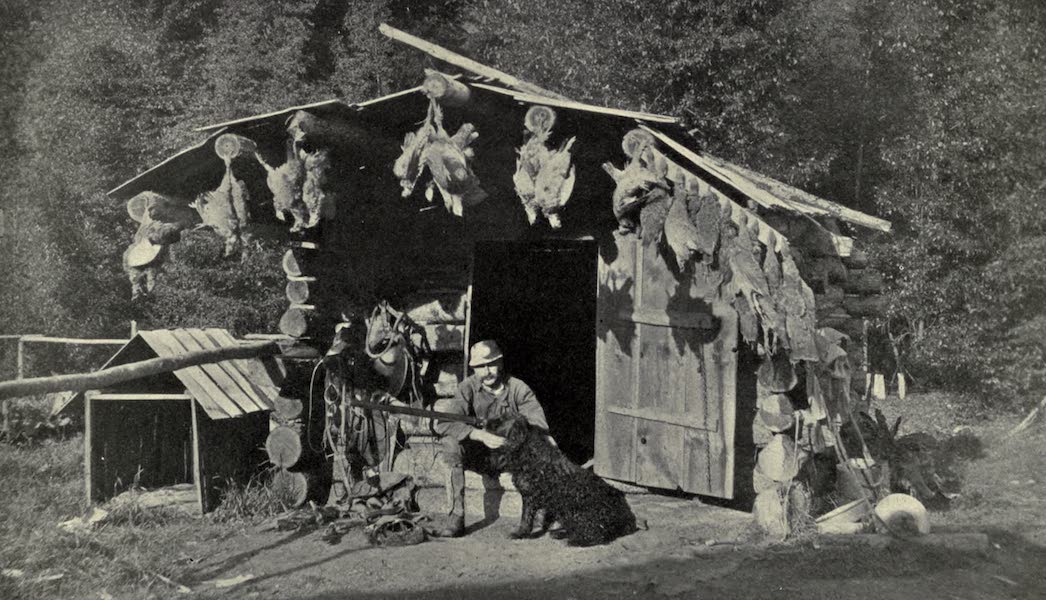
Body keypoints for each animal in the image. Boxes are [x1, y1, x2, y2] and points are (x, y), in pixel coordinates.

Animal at [487, 416, 635, 547]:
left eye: (500, 420)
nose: (484, 422)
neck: (529, 455)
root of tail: (627, 518)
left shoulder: (530, 496)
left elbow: (526, 518)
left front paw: (519, 534)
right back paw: (559, 532)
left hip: (578, 510)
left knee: (598, 534)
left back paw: (576, 541)